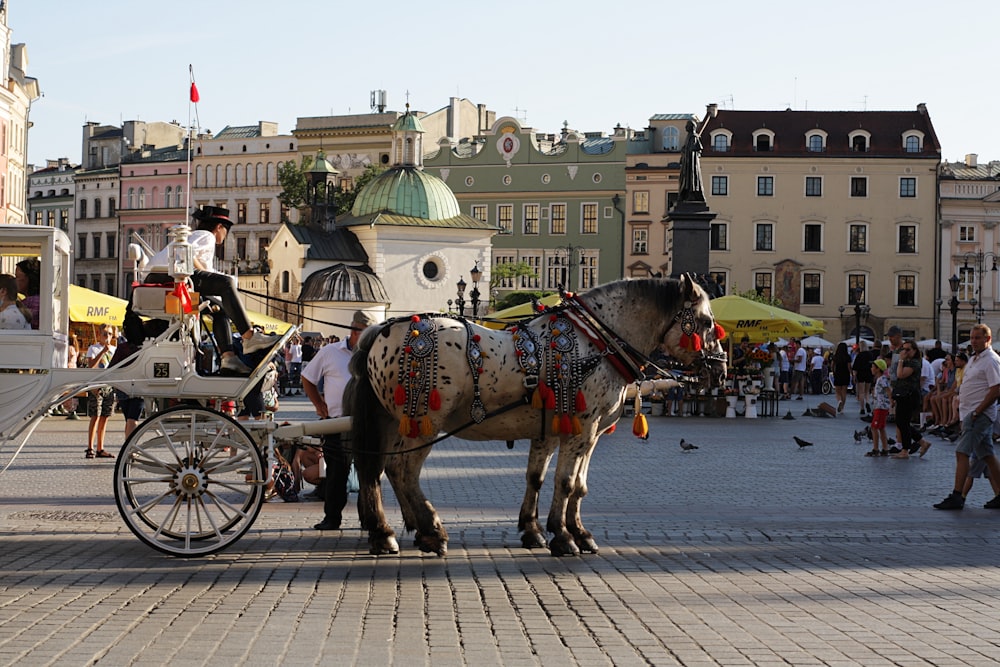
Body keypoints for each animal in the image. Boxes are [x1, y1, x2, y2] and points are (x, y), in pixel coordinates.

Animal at [348, 276, 724, 560]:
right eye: (706, 322)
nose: (719, 369)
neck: (596, 344)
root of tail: (380, 331)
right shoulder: (583, 428)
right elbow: (567, 482)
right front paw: (565, 536)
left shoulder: (562, 431)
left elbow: (546, 479)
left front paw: (543, 530)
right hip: (423, 422)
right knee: (402, 470)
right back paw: (428, 532)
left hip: (391, 421)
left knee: (378, 470)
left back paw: (390, 532)